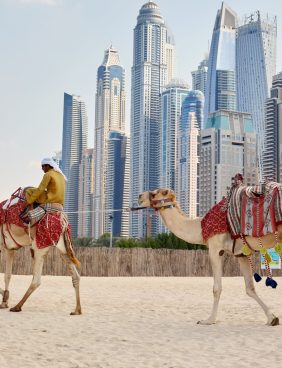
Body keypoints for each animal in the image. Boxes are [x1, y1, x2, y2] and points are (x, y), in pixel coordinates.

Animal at [137, 188, 280, 326]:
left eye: (155, 193)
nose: (139, 196)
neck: (200, 226)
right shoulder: (241, 253)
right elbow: (250, 288)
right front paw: (272, 318)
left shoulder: (215, 248)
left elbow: (216, 288)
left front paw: (209, 320)